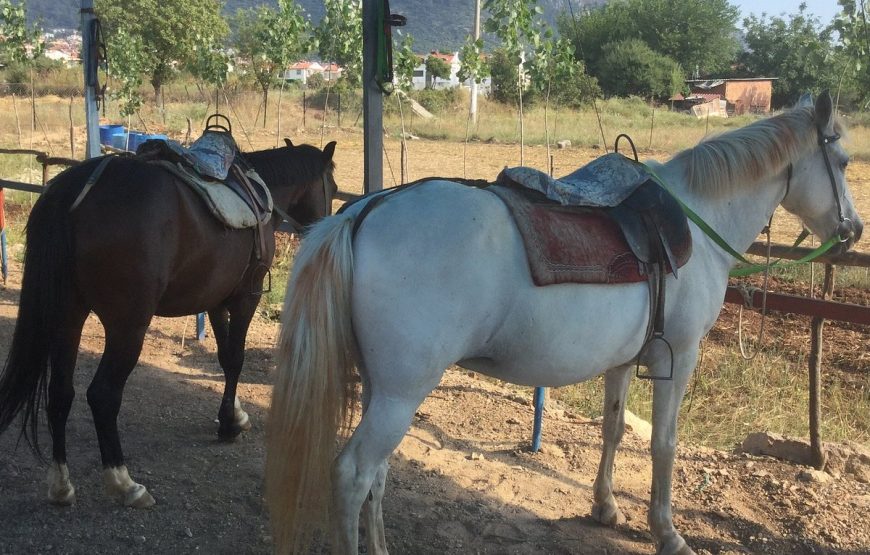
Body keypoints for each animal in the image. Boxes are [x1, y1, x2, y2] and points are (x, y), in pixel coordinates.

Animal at [0, 139, 338, 508]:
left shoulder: (214, 300)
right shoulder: (246, 298)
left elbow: (225, 358)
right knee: (102, 395)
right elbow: (236, 359)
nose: (325, 232)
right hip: (128, 325)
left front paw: (233, 414)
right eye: (334, 190)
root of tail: (77, 190)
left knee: (60, 393)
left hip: (68, 316)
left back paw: (61, 485)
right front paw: (228, 426)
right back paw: (124, 483)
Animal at [268, 92, 864, 555]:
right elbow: (664, 444)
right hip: (401, 393)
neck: (698, 218)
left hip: (382, 388)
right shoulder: (678, 358)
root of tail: (358, 214)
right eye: (842, 161)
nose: (854, 230)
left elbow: (614, 428)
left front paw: (605, 508)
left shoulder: (626, 359)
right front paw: (667, 532)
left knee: (378, 475)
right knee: (353, 475)